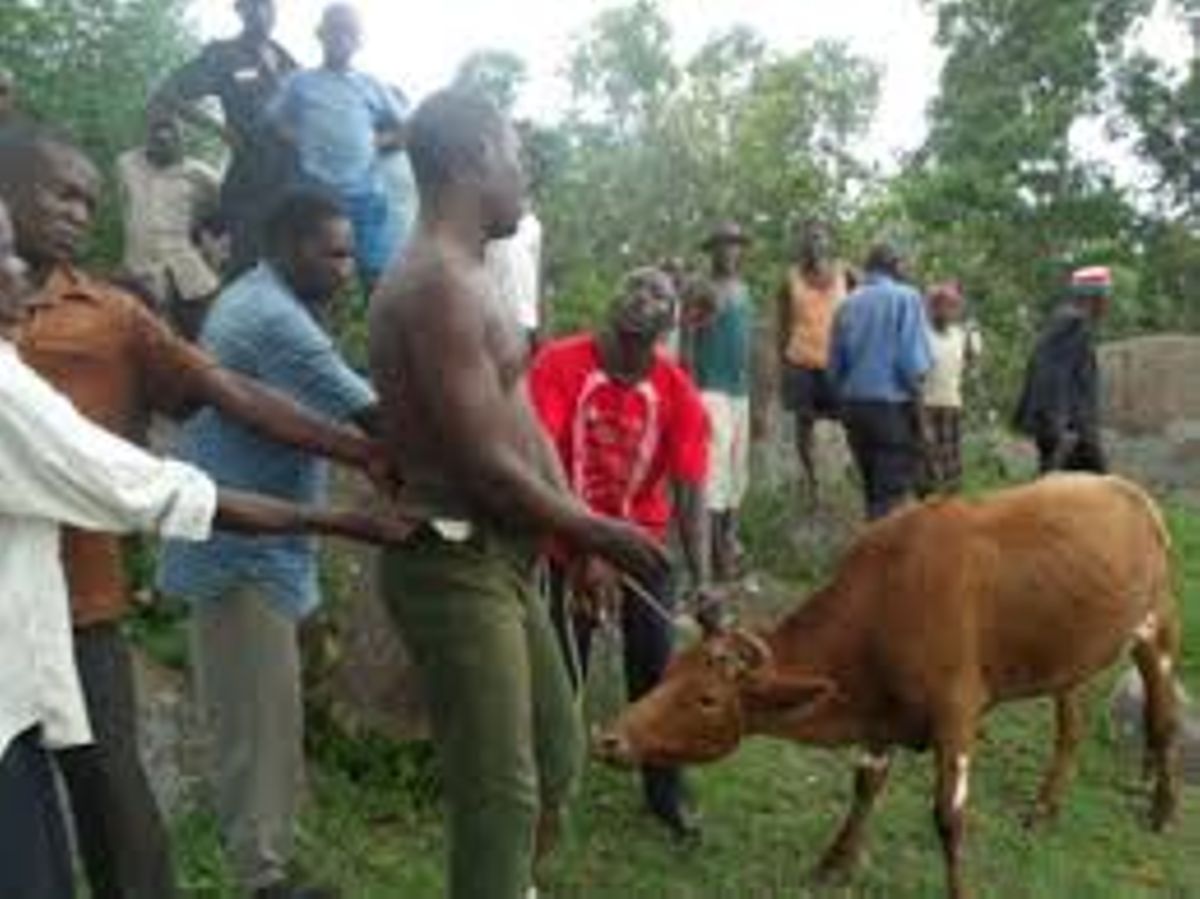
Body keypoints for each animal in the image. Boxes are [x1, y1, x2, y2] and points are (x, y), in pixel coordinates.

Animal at [595, 472, 1176, 892]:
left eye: (707, 697)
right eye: (668, 672)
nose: (609, 738)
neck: (883, 606)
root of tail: (1127, 488)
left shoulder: (957, 711)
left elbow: (949, 818)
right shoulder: (879, 714)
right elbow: (866, 784)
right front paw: (833, 863)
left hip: (1156, 628)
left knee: (1163, 720)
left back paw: (1162, 810)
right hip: (1065, 656)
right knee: (1070, 725)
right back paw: (1044, 808)